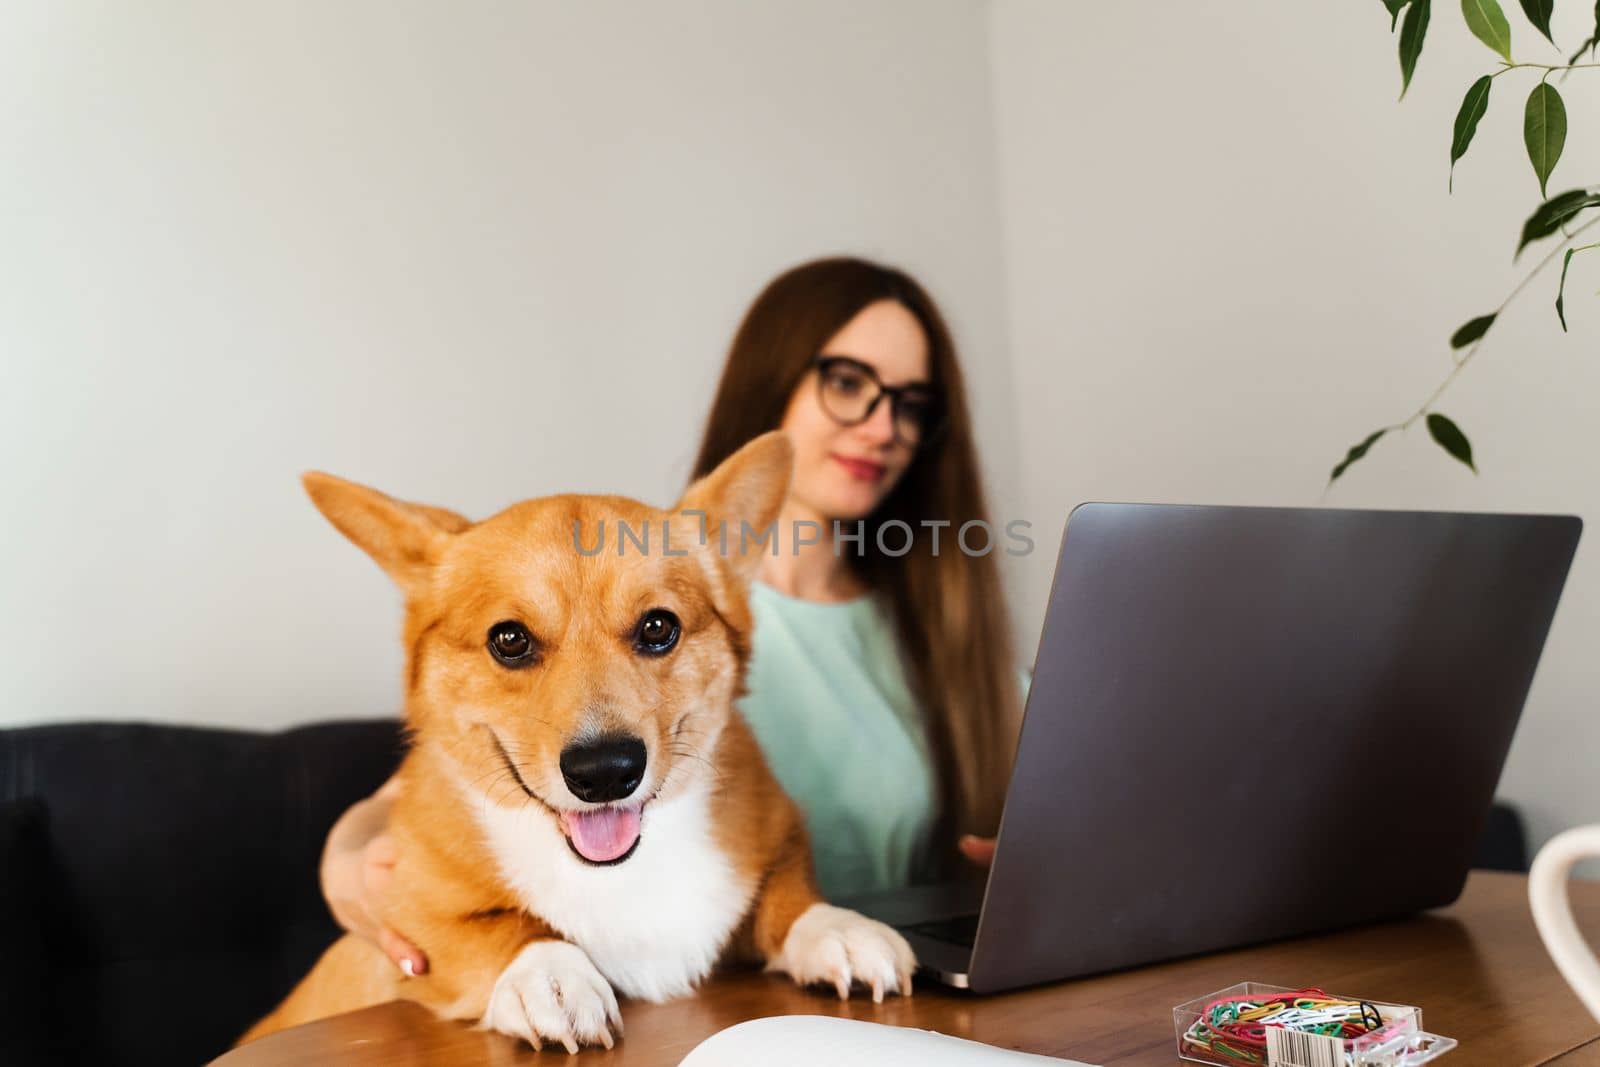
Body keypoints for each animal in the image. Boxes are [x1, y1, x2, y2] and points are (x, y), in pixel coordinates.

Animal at [235, 431, 915, 1049]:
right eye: (509, 639)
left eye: (659, 628)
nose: (606, 771)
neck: (617, 873)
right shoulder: (403, 922)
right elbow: (492, 927)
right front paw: (549, 976)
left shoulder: (775, 849)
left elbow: (786, 895)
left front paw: (838, 928)